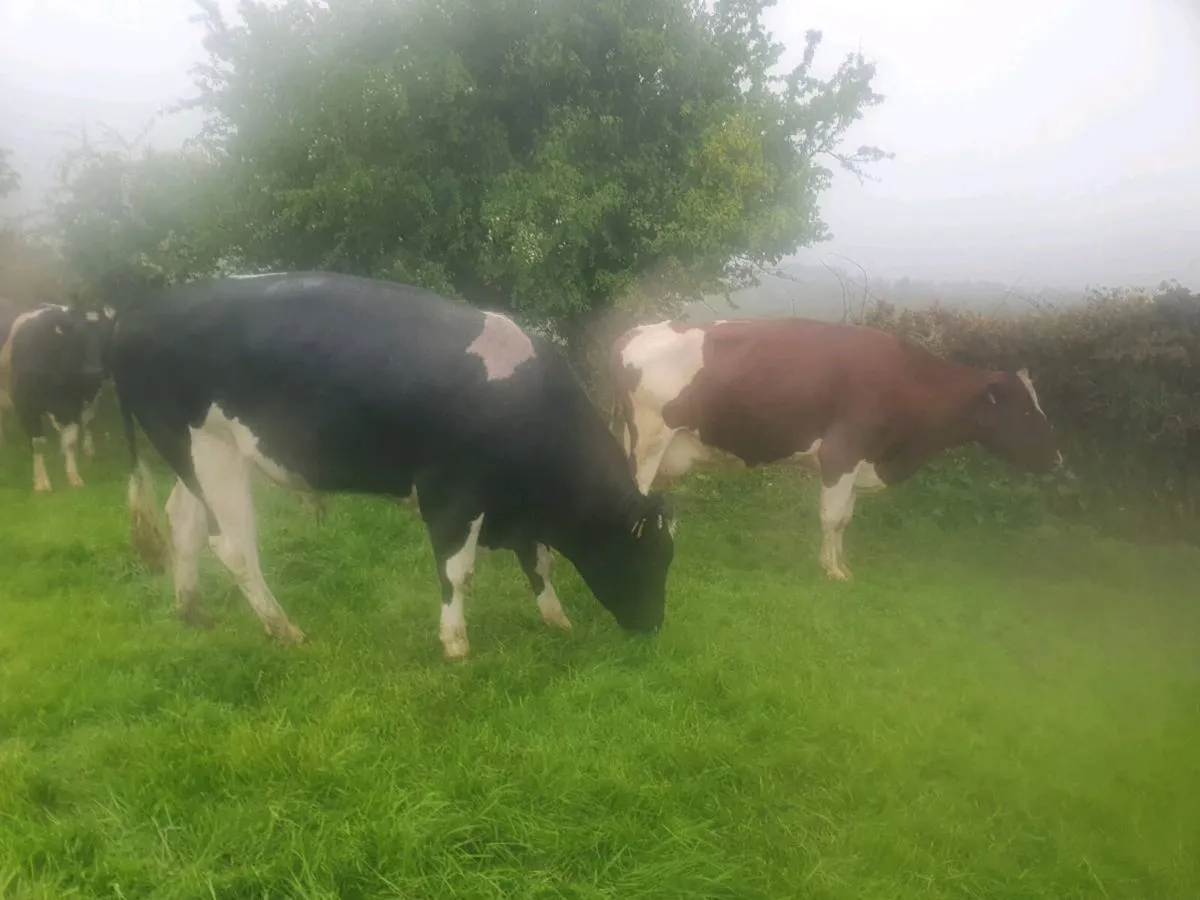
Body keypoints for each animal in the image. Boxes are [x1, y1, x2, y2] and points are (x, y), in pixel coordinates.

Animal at [0, 299, 114, 491]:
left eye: (106, 336)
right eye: (77, 336)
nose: (94, 371)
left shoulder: (73, 404)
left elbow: (71, 440)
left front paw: (74, 477)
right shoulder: (25, 404)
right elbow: (38, 443)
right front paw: (41, 483)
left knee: (87, 422)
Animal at [112, 272, 676, 658]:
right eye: (651, 556)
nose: (654, 625)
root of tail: (137, 314)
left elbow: (539, 561)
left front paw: (556, 620)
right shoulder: (452, 493)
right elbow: (457, 570)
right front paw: (455, 642)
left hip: (196, 452)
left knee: (184, 522)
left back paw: (191, 612)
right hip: (211, 453)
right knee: (233, 546)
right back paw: (284, 629)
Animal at [610, 317, 1061, 581]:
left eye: (1037, 404)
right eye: (1024, 411)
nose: (1057, 457)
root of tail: (636, 331)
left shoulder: (860, 462)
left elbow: (844, 518)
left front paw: (841, 563)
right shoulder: (841, 454)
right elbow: (830, 517)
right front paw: (831, 570)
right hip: (649, 439)